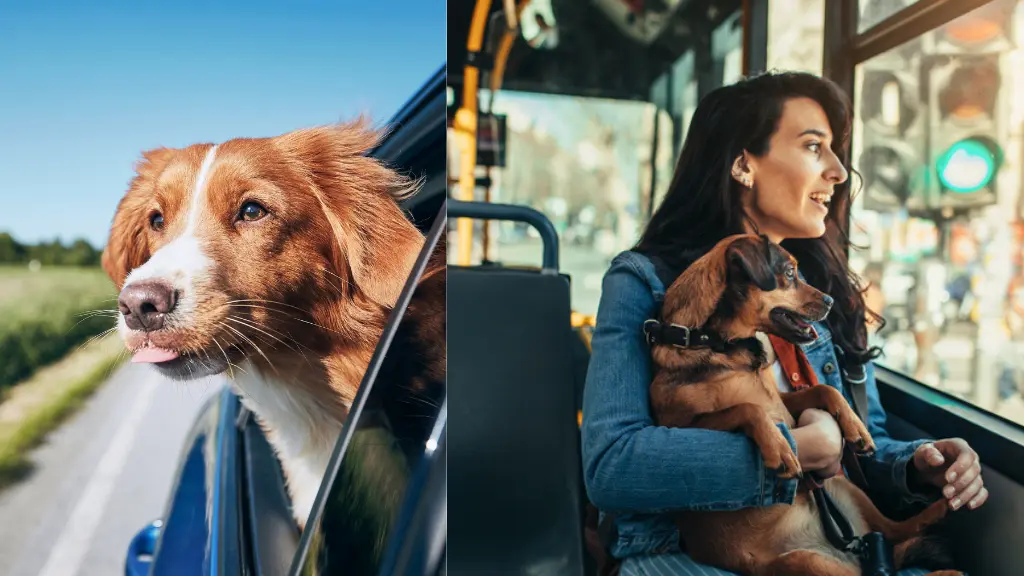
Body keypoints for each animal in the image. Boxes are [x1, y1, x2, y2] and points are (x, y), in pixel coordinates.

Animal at [647, 233, 958, 573]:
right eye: (790, 273)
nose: (831, 301)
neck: (717, 341)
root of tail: (852, 552)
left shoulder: (782, 398)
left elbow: (824, 390)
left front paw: (856, 429)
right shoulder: (685, 426)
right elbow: (748, 408)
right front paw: (780, 448)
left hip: (841, 487)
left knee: (895, 529)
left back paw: (942, 510)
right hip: (805, 560)